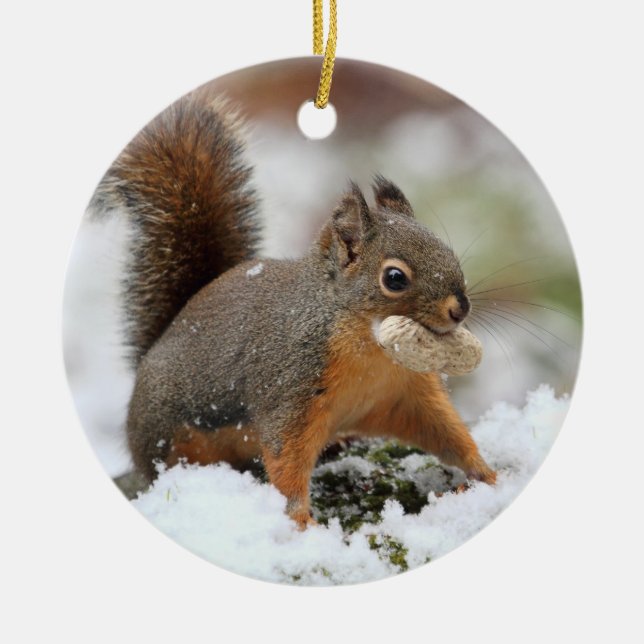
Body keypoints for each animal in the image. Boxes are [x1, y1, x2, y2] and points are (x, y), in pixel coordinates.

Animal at [92, 89, 496, 529]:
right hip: (169, 436)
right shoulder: (291, 386)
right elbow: (286, 456)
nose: (460, 308)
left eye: (446, 250)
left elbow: (443, 429)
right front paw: (301, 522)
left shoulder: (405, 392)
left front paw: (485, 473)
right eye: (394, 278)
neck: (368, 346)